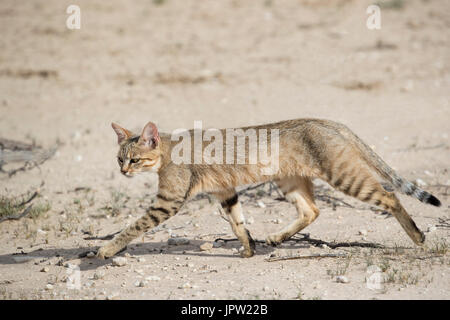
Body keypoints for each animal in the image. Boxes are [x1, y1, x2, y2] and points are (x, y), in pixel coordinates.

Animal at [96, 119, 442, 258]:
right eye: (119, 159)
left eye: (135, 159)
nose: (123, 171)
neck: (169, 149)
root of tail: (330, 122)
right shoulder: (226, 192)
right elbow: (238, 223)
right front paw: (249, 249)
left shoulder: (167, 202)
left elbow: (132, 227)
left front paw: (107, 250)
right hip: (289, 181)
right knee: (312, 209)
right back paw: (276, 237)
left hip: (345, 177)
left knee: (390, 196)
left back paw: (417, 236)